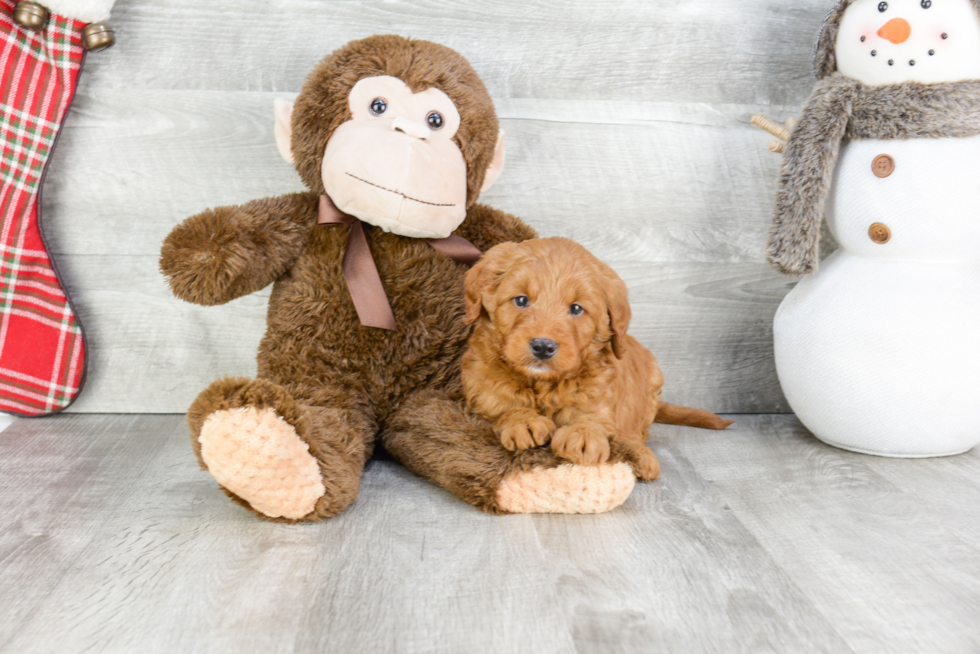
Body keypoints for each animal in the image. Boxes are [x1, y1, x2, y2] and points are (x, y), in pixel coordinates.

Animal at [464, 240, 732, 482]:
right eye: (521, 300)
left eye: (576, 308)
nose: (543, 347)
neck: (544, 384)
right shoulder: (482, 388)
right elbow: (502, 404)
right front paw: (523, 421)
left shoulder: (599, 396)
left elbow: (591, 415)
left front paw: (583, 434)